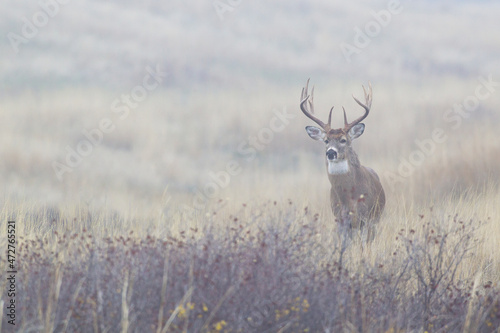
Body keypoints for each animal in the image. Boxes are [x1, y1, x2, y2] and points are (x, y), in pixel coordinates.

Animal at [300, 79, 386, 240]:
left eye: (343, 140)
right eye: (326, 140)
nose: (330, 153)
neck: (349, 198)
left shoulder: (365, 218)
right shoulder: (340, 219)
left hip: (375, 219)